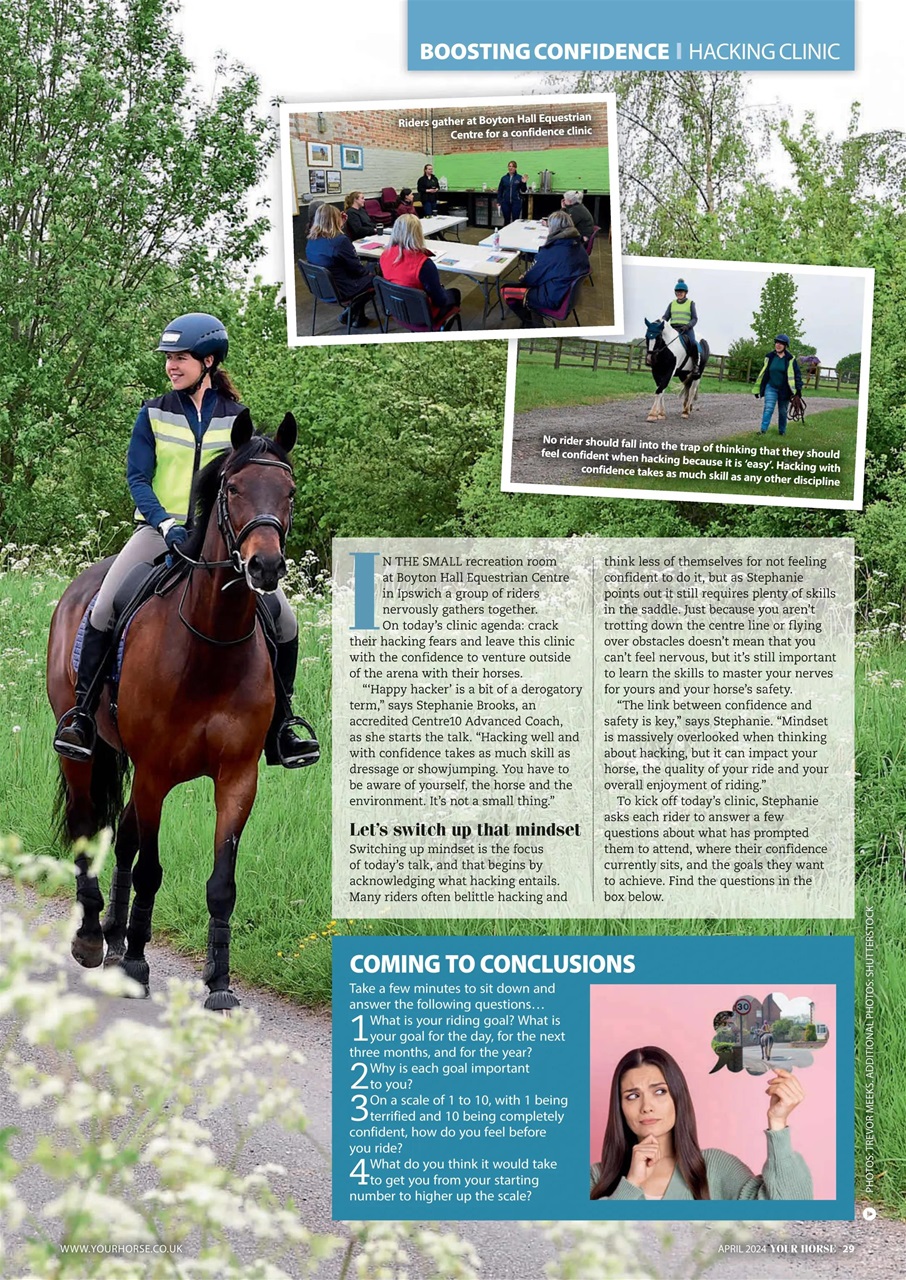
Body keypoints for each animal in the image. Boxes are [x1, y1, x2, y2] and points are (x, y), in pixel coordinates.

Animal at [47, 411, 300, 1011]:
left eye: (289, 492)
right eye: (233, 489)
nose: (265, 567)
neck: (212, 644)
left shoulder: (237, 778)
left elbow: (220, 884)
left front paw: (220, 982)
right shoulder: (157, 773)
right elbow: (151, 870)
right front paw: (139, 963)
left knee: (124, 836)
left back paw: (115, 936)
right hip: (82, 751)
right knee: (89, 827)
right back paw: (93, 939)